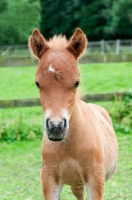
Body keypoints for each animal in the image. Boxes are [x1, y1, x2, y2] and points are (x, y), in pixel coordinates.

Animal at [28, 28, 118, 200]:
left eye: (77, 82)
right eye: (37, 83)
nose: (56, 127)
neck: (68, 146)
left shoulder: (95, 178)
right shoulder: (49, 179)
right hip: (75, 183)